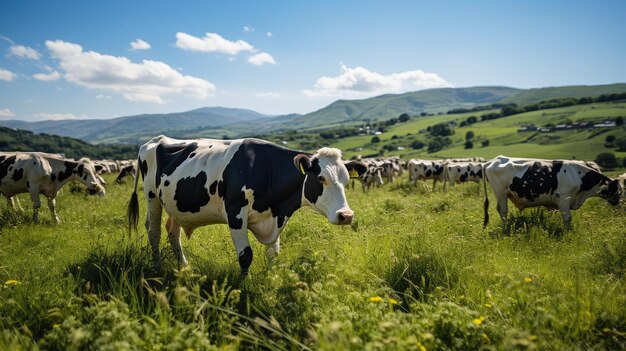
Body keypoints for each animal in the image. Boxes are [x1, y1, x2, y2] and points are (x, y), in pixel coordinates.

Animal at [125, 136, 366, 276]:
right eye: (321, 179)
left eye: (346, 180)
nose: (346, 215)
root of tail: (156, 139)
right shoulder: (235, 213)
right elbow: (245, 256)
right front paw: (243, 289)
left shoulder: (275, 217)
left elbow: (273, 254)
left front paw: (272, 281)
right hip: (152, 197)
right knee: (154, 231)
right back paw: (157, 269)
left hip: (175, 204)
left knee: (173, 232)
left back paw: (185, 267)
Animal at [480, 155, 620, 232]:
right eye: (618, 190)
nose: (618, 202)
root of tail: (494, 160)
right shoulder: (563, 198)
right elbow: (567, 218)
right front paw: (568, 233)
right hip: (501, 193)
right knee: (503, 211)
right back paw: (506, 229)